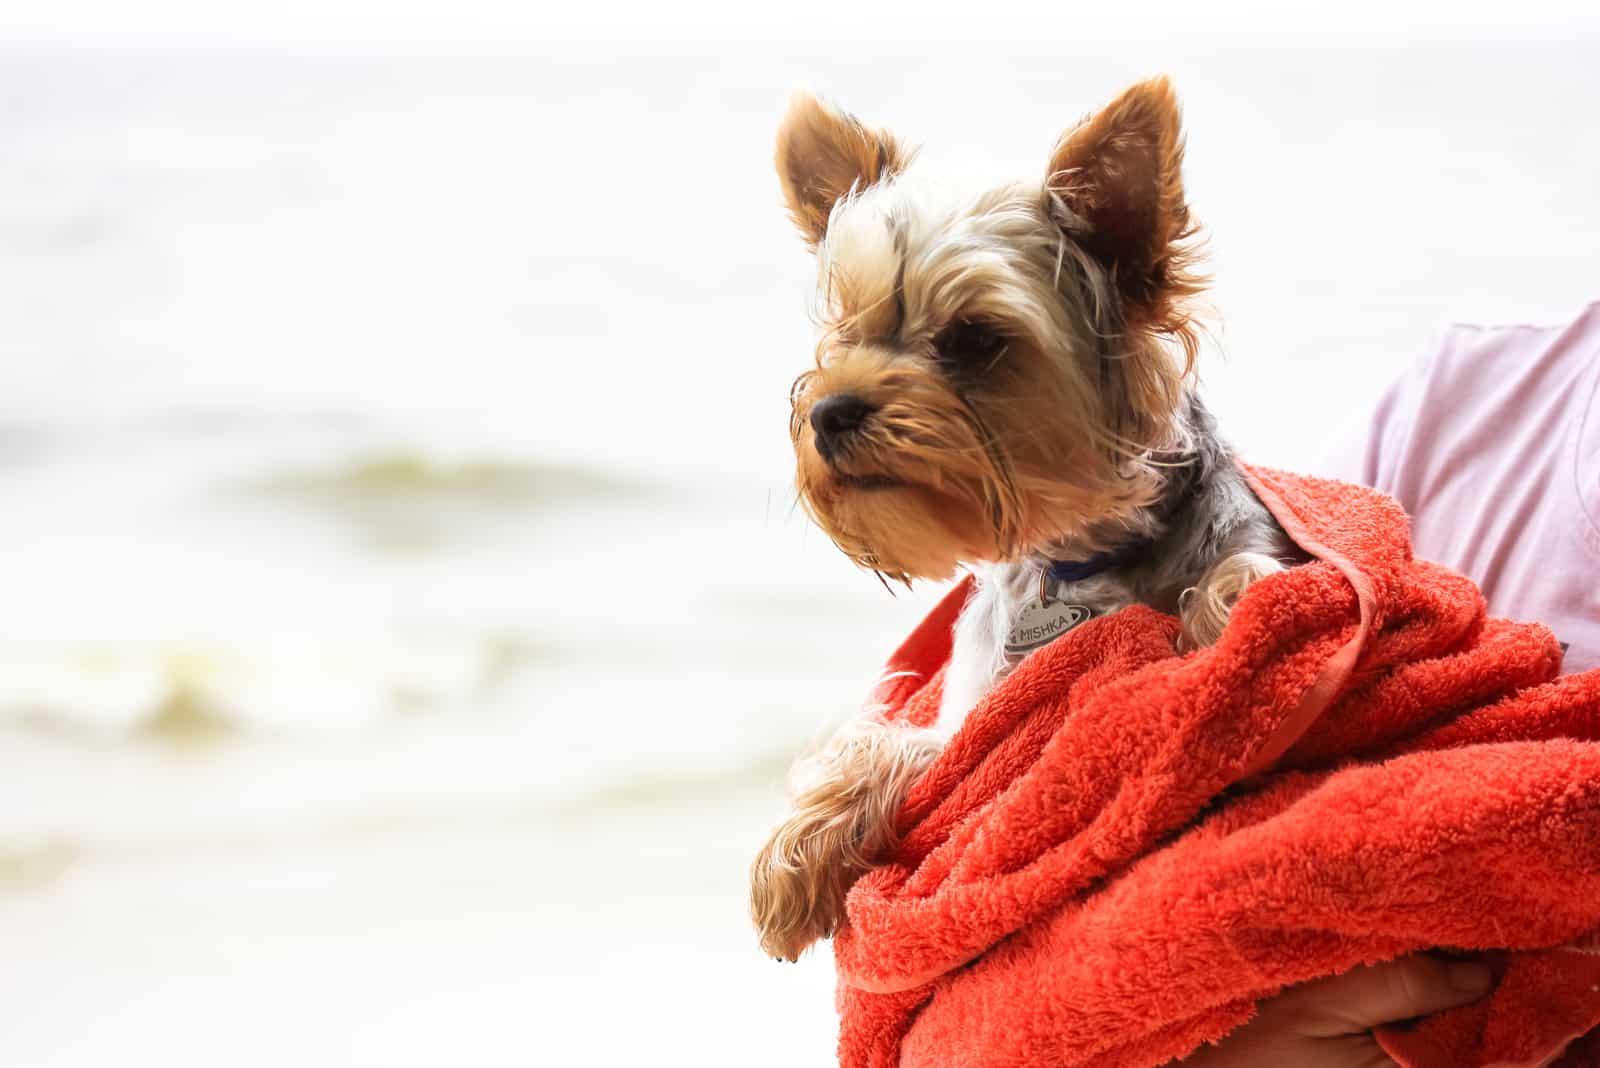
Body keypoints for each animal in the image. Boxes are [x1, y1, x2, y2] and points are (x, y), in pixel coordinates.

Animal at [752, 79, 1299, 965]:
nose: (829, 411)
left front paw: (1222, 627)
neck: (1072, 558)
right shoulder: (971, 723)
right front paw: (794, 851)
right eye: (846, 326)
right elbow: (897, 744)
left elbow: (1244, 573)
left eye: (975, 338)